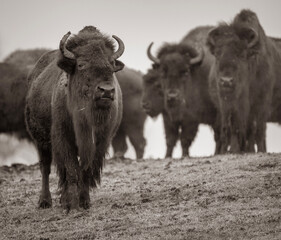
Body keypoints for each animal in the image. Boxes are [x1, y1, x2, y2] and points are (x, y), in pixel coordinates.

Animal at [24, 26, 123, 210]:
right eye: (81, 64)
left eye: (112, 65)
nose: (106, 91)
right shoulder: (64, 138)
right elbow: (71, 170)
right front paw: (72, 204)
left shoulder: (100, 142)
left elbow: (86, 171)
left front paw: (84, 201)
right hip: (41, 141)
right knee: (45, 168)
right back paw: (45, 201)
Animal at [145, 26, 220, 156]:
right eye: (163, 72)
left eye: (185, 71)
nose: (172, 96)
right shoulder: (168, 119)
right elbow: (170, 139)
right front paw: (167, 156)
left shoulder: (191, 119)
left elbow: (185, 139)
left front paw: (185, 155)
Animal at [206, 9, 280, 153]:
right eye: (217, 54)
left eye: (241, 55)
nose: (226, 81)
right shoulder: (228, 105)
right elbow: (234, 127)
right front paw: (234, 150)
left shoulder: (261, 104)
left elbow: (257, 129)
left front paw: (257, 150)